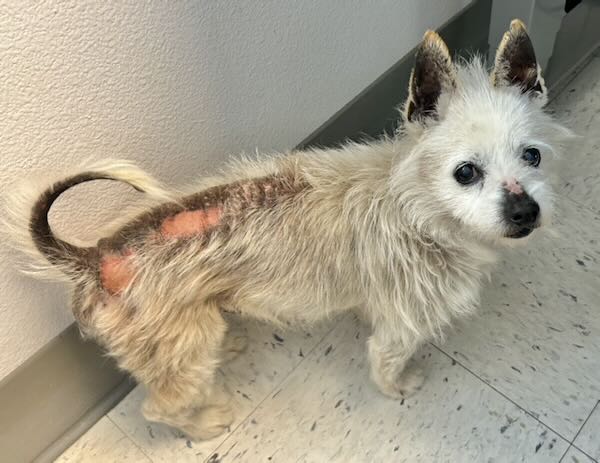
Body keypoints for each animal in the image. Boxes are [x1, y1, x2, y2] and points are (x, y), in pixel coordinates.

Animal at [4, 20, 573, 440]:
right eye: (465, 173)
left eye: (533, 155)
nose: (525, 212)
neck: (416, 207)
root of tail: (91, 256)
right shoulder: (401, 325)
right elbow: (386, 364)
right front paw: (400, 387)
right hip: (180, 357)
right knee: (159, 410)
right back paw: (204, 426)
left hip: (189, 333)